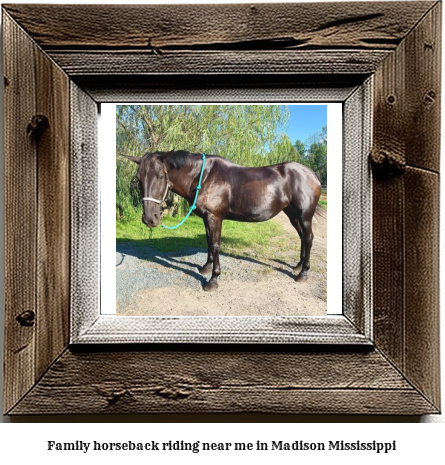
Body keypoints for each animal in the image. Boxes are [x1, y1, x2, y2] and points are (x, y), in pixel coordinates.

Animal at [124, 151, 320, 290]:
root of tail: (312, 174)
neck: (203, 177)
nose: (149, 218)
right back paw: (298, 266)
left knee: (308, 238)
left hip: (304, 216)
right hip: (293, 215)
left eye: (160, 176)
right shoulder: (206, 218)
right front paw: (205, 267)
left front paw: (213, 280)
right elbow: (208, 242)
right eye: (139, 179)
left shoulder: (215, 217)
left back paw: (303, 273)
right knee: (302, 238)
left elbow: (216, 244)